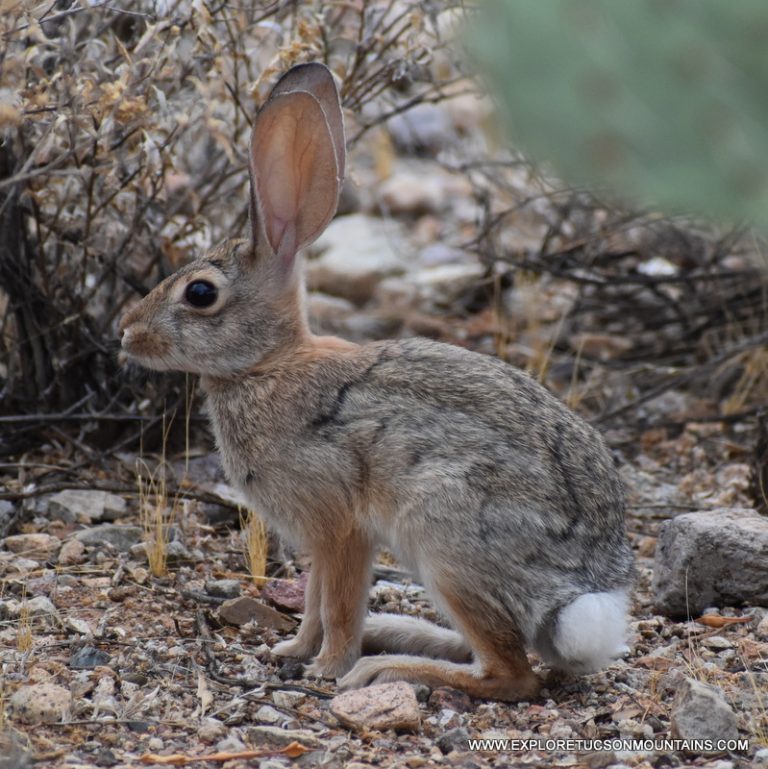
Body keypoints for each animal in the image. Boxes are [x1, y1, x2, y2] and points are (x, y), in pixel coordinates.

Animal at [120, 63, 632, 700]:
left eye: (199, 293)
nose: (126, 333)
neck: (268, 365)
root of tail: (587, 595)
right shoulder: (319, 540)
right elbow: (313, 601)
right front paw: (290, 650)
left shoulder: (341, 527)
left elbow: (337, 604)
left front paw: (327, 668)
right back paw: (396, 634)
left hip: (442, 537)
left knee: (510, 674)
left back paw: (384, 667)